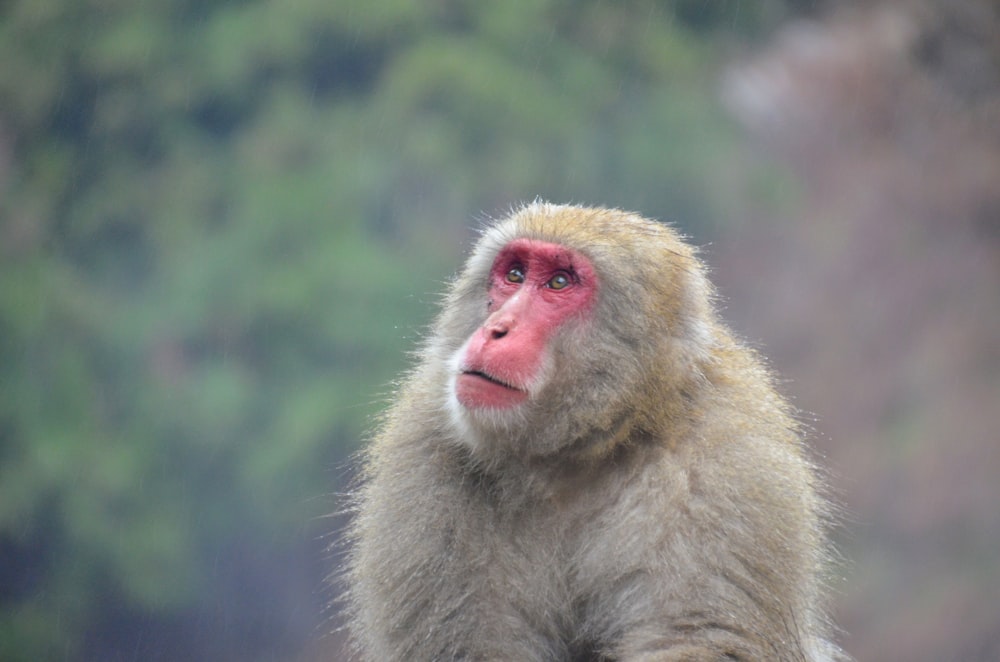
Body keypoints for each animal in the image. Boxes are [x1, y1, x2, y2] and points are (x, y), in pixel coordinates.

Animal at [342, 204, 844, 662]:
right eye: (515, 274)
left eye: (559, 283)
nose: (495, 329)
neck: (579, 450)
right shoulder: (426, 458)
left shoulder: (726, 474)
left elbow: (696, 640)